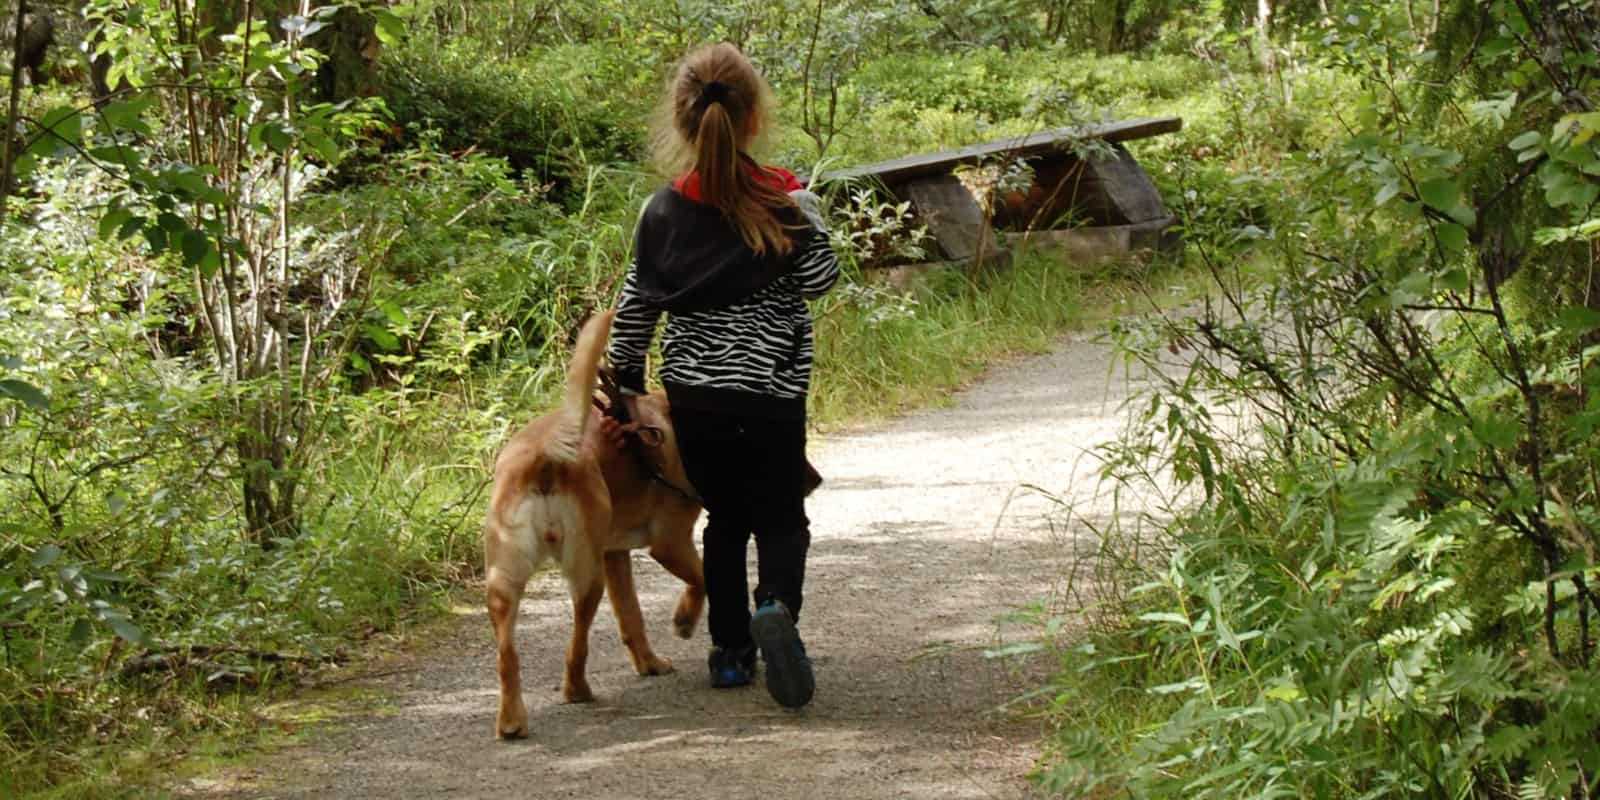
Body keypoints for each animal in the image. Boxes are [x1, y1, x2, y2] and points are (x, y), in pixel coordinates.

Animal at [483, 310, 704, 736]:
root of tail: (545, 455)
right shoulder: (670, 542)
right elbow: (700, 581)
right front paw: (684, 621)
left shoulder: (614, 554)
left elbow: (632, 617)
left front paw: (650, 664)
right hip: (587, 577)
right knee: (576, 645)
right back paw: (577, 691)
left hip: (505, 577)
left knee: (507, 655)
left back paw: (512, 721)